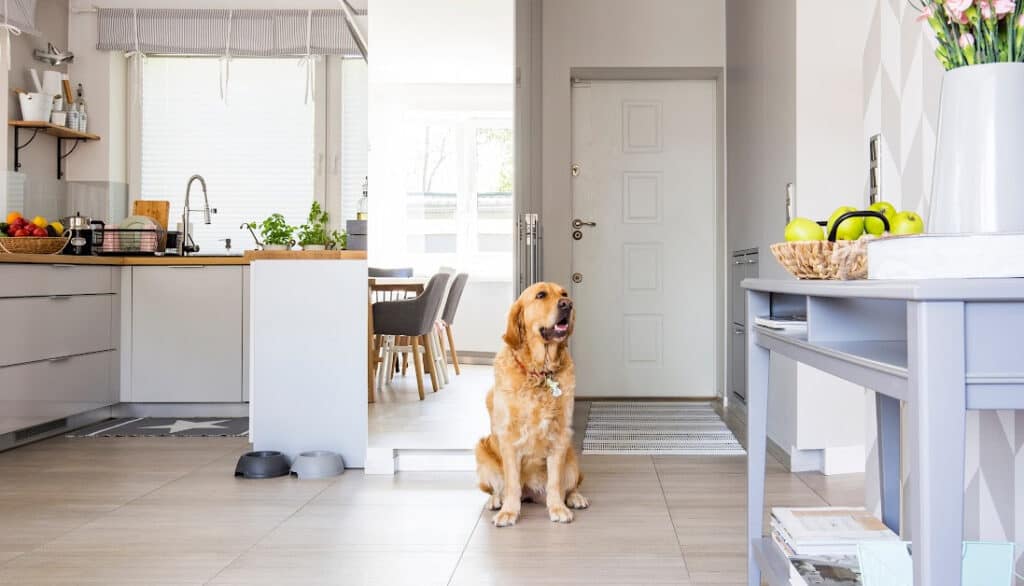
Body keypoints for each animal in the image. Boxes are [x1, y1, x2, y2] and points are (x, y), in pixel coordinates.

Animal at [475, 280, 589, 524]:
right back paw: (496, 502)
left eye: (564, 293)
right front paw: (509, 512)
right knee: (497, 489)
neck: (540, 373)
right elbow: (511, 484)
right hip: (481, 452)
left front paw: (557, 508)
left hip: (572, 459)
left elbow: (555, 483)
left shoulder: (559, 435)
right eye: (541, 295)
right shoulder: (508, 438)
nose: (568, 304)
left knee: (571, 485)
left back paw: (575, 498)